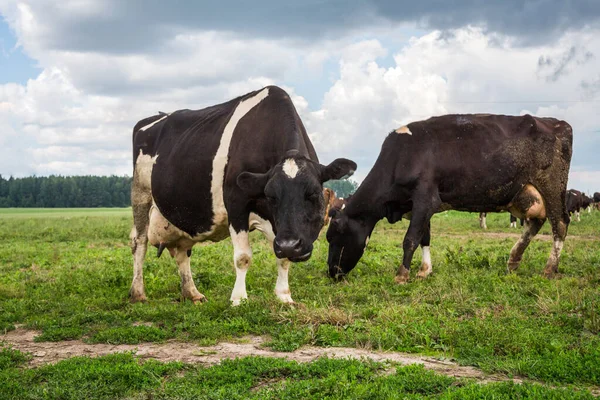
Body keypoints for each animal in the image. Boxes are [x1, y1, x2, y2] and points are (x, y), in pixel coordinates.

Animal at [130, 86, 356, 304]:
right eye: (271, 196)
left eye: (314, 193)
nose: (291, 246)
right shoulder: (236, 201)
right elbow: (243, 257)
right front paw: (238, 298)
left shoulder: (279, 227)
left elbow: (282, 257)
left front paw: (284, 296)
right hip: (140, 193)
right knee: (139, 242)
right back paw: (138, 293)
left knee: (182, 251)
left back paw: (192, 293)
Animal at [328, 112, 572, 282]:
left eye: (335, 235)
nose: (331, 272)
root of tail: (557, 123)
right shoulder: (418, 205)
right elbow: (424, 237)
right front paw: (424, 271)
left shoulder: (425, 197)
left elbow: (410, 238)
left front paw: (401, 275)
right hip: (525, 193)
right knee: (535, 222)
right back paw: (513, 260)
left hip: (552, 187)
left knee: (559, 223)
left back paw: (549, 268)